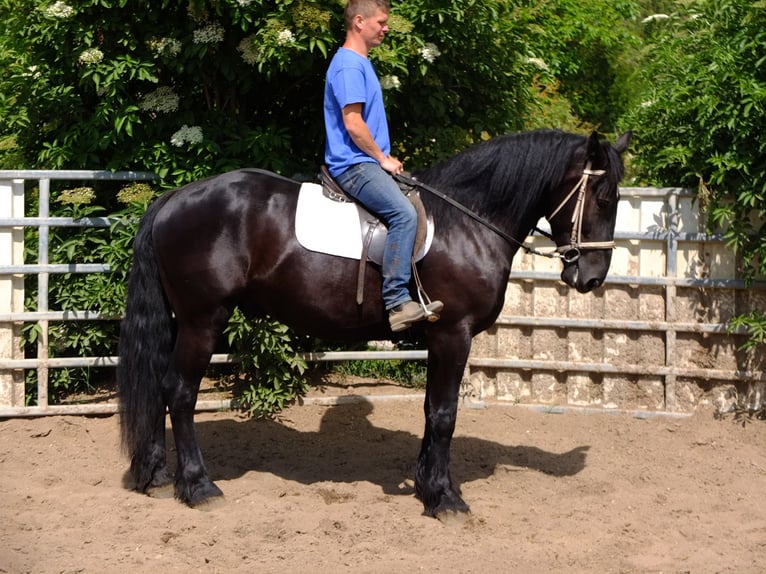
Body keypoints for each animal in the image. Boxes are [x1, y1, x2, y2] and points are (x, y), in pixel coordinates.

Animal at [120, 130, 632, 520]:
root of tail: (174, 198)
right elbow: (444, 415)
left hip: (180, 321)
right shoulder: (454, 335)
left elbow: (430, 411)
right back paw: (198, 486)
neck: (466, 223)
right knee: (180, 394)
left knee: (161, 389)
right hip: (203, 321)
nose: (592, 277)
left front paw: (428, 487)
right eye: (604, 197)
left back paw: (157, 476)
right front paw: (445, 499)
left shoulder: (438, 340)